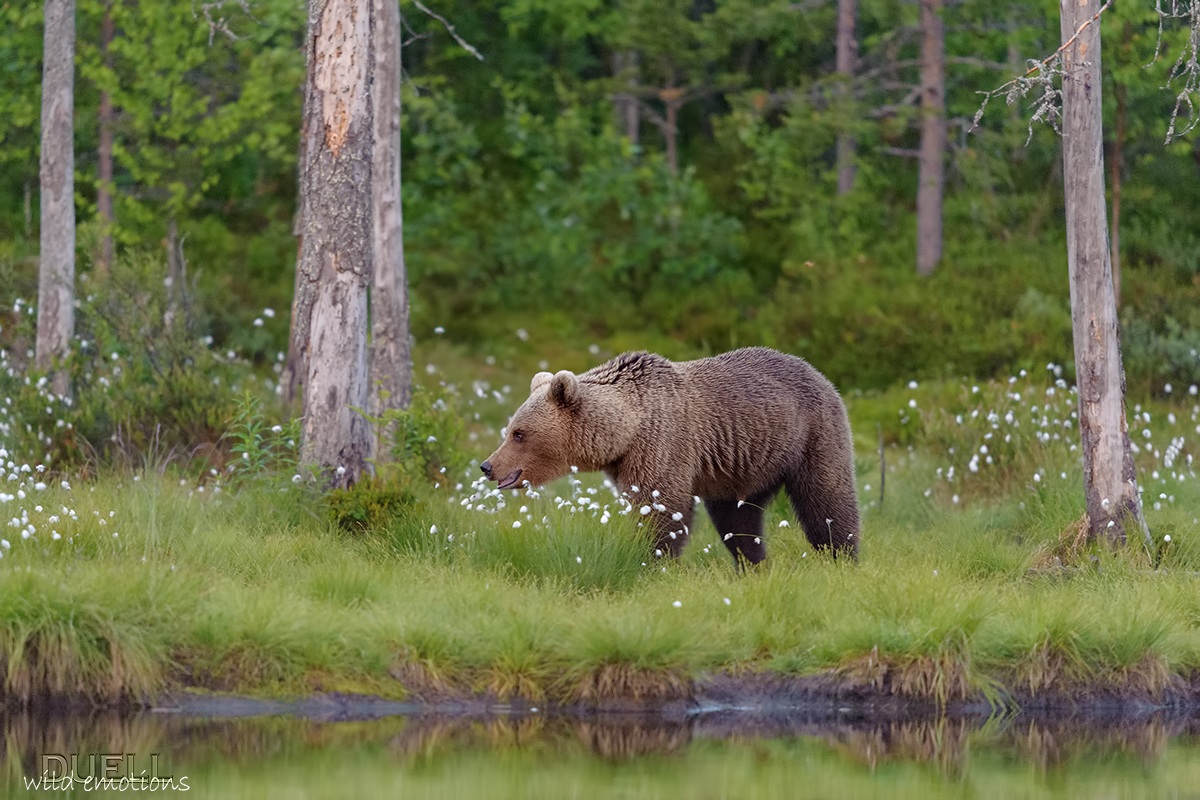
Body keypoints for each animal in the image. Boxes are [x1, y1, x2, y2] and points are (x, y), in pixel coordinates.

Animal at [480, 347, 860, 566]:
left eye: (519, 433)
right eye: (510, 428)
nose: (487, 466)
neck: (626, 431)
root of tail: (818, 372)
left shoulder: (663, 445)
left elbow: (663, 509)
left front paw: (653, 560)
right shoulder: (627, 465)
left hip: (813, 433)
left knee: (826, 498)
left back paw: (842, 556)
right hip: (742, 466)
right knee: (737, 519)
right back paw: (753, 562)